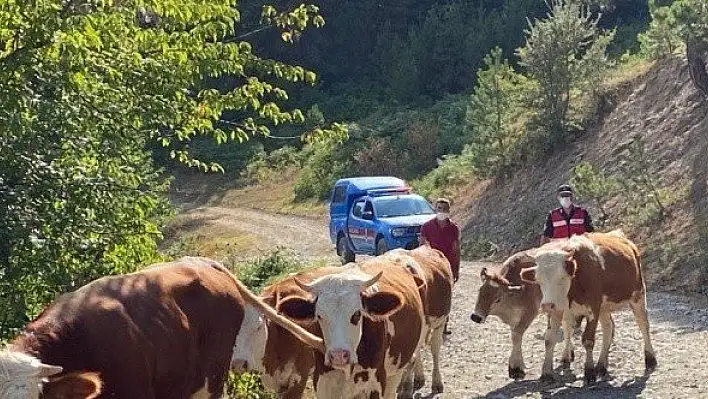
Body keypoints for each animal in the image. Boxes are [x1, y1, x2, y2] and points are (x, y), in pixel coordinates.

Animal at [270, 260, 426, 396]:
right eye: (319, 316)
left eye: (357, 314)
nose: (339, 355)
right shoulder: (323, 381)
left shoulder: (376, 383)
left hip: (397, 371)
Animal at [470, 252, 544, 380]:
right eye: (480, 291)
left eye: (498, 299)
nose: (476, 317)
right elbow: (515, 338)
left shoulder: (529, 314)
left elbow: (516, 337)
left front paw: (516, 369)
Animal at [516, 231, 660, 384]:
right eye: (538, 280)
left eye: (562, 277)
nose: (547, 305)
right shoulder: (558, 310)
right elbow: (549, 339)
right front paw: (546, 373)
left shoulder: (593, 308)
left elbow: (588, 340)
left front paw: (589, 371)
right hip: (604, 307)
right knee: (608, 328)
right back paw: (601, 365)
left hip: (638, 295)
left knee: (643, 325)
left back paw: (650, 359)